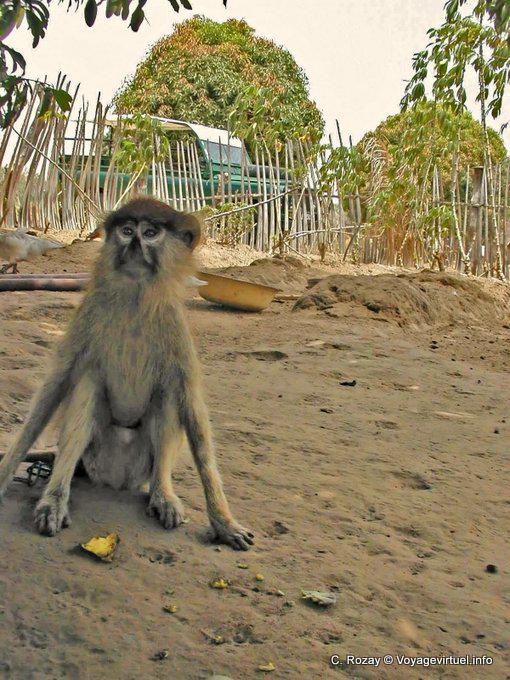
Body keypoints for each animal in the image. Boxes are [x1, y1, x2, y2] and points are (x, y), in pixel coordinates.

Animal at [0, 197, 254, 551]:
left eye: (150, 233)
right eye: (127, 230)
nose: (134, 246)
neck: (135, 295)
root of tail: (115, 479)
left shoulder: (174, 328)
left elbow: (192, 411)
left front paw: (223, 521)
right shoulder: (90, 314)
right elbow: (54, 390)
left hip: (140, 465)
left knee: (166, 397)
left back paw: (162, 493)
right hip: (95, 454)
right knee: (88, 385)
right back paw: (55, 495)